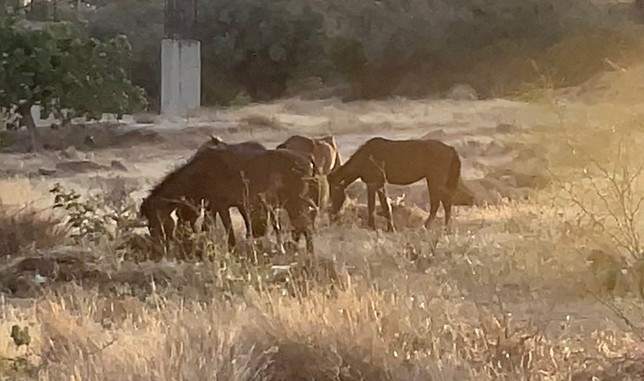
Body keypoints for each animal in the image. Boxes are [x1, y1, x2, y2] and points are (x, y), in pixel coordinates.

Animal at [140, 142, 316, 252]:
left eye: (154, 222)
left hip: (294, 203)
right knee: (301, 227)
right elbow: (208, 227)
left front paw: (232, 250)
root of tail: (306, 159)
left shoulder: (221, 205)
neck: (201, 172)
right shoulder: (211, 206)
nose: (158, 247)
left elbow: (229, 230)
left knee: (305, 226)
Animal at [328, 138, 462, 230]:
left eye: (334, 191)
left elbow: (383, 206)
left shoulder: (378, 183)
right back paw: (445, 229)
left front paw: (389, 229)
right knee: (445, 202)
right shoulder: (371, 184)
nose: (333, 215)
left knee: (439, 203)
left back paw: (427, 227)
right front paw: (373, 227)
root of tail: (451, 149)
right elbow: (373, 206)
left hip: (435, 180)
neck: (365, 157)